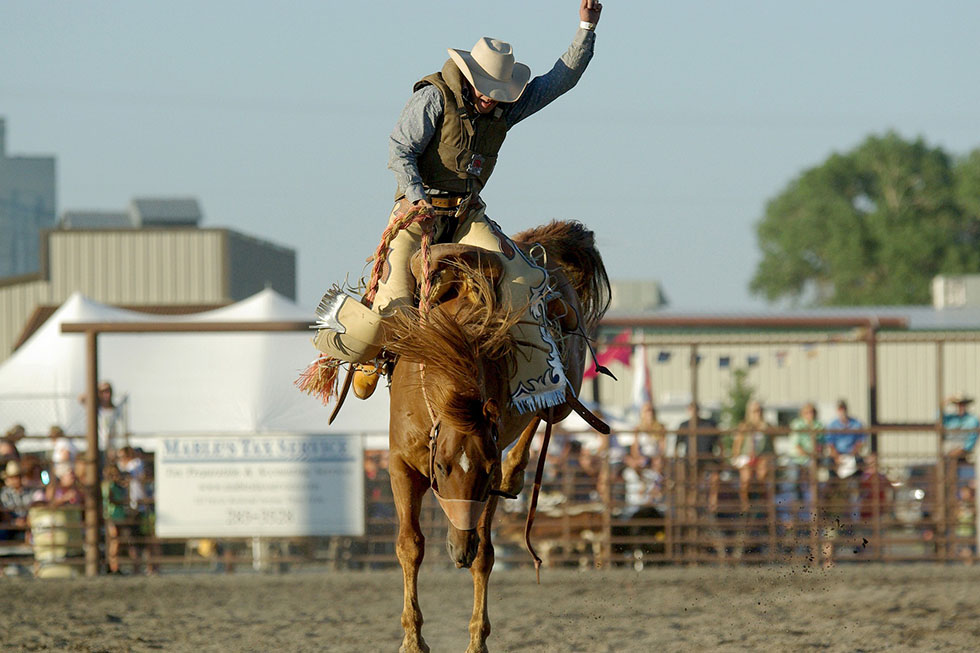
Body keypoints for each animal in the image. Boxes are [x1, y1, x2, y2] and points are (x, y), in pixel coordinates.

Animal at [386, 220, 608, 652]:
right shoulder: (400, 464)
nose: (458, 550)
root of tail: (541, 248)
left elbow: (485, 556)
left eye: (485, 471)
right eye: (441, 467)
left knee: (547, 409)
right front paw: (413, 640)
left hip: (566, 385)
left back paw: (516, 473)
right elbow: (410, 545)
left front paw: (477, 640)